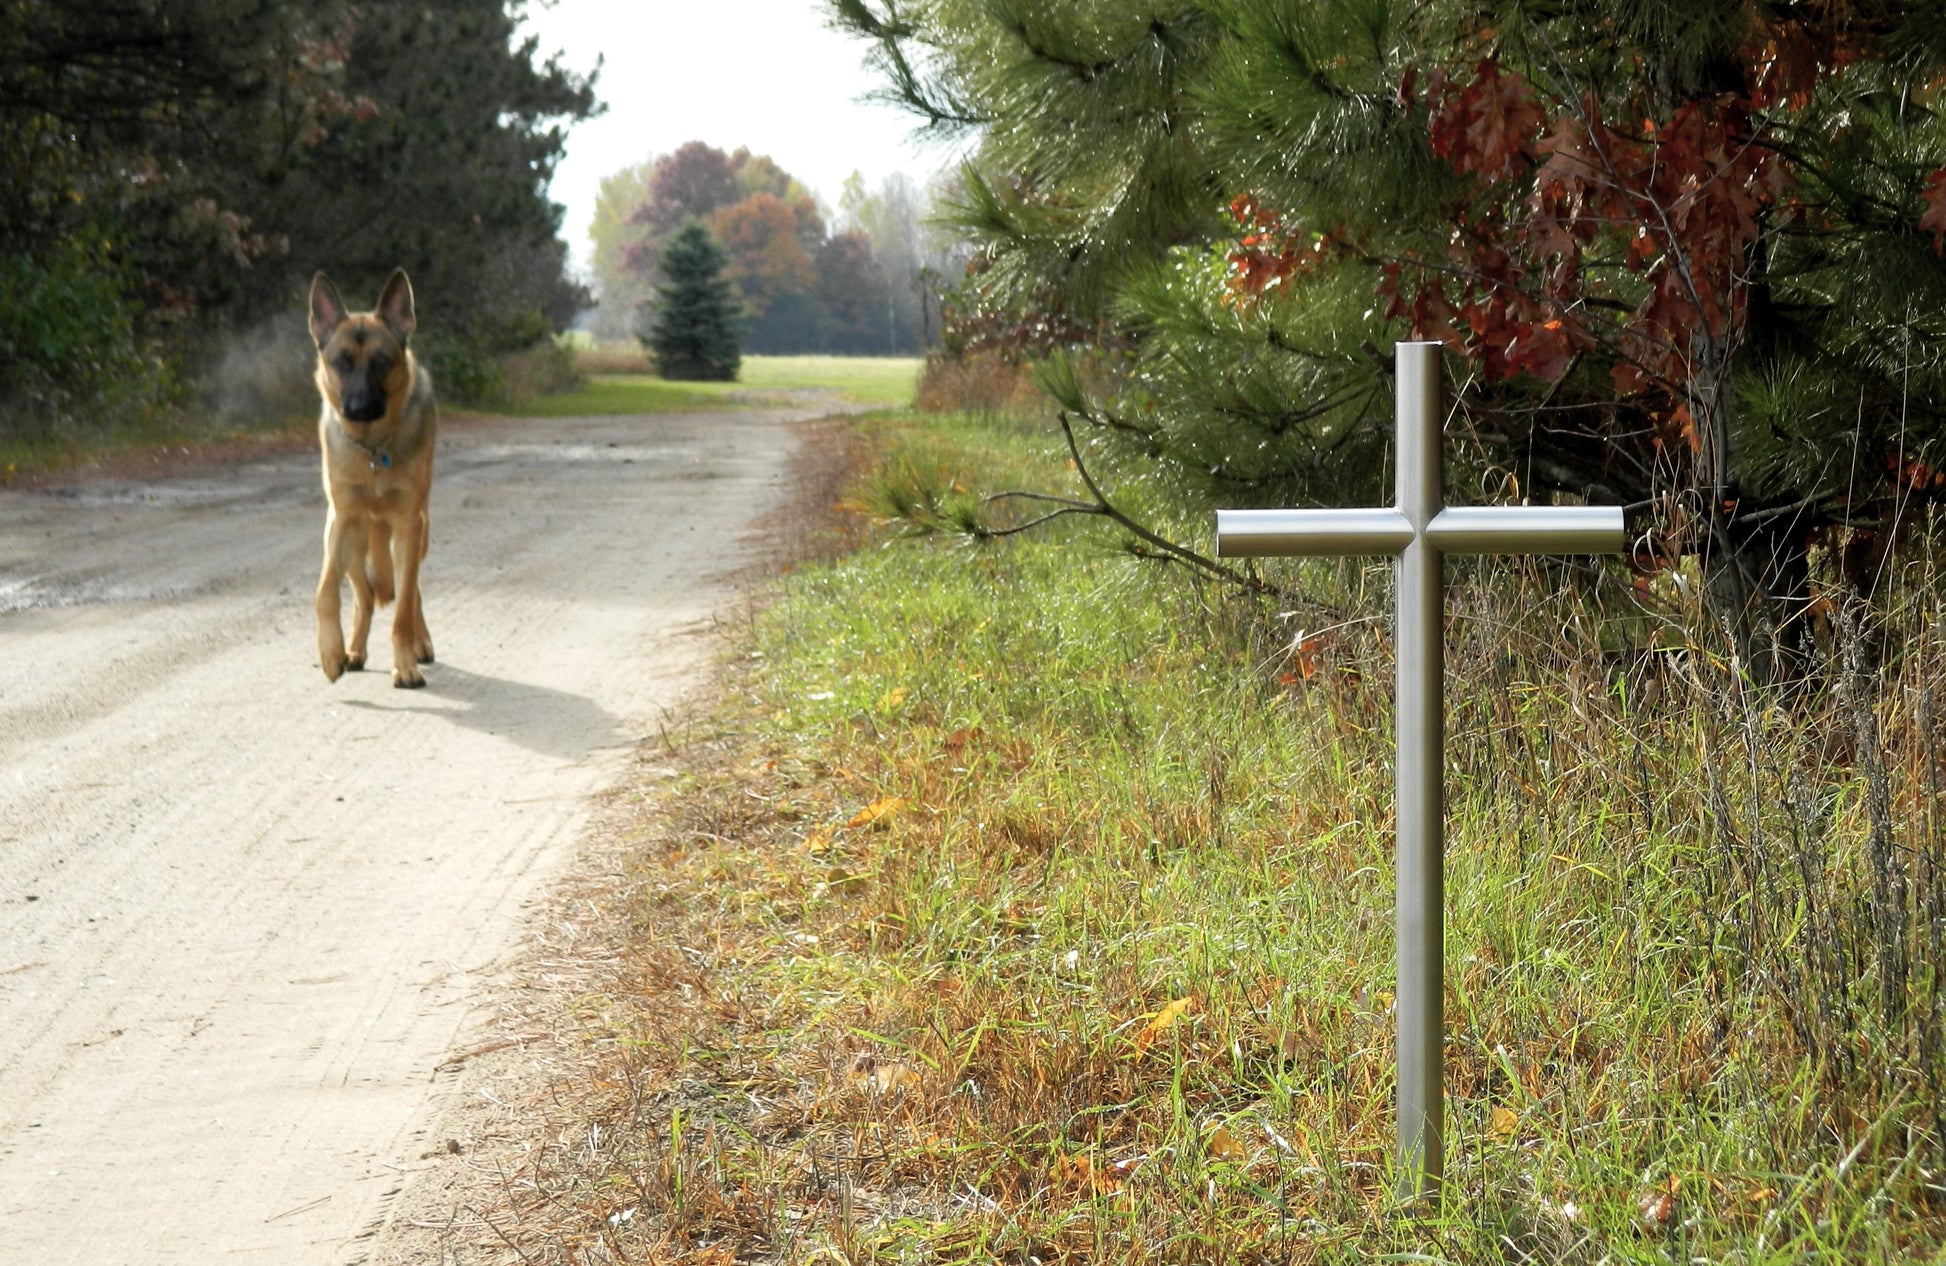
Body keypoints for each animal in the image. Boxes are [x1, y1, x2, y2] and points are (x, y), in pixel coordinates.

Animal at [305, 262, 435, 688]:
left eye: (382, 361)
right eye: (341, 361)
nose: (359, 407)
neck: (374, 450)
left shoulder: (409, 525)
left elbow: (404, 607)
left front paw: (405, 664)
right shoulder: (341, 521)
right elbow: (324, 593)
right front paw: (330, 652)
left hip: (416, 535)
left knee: (412, 592)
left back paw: (420, 644)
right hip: (353, 543)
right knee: (363, 597)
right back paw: (353, 650)